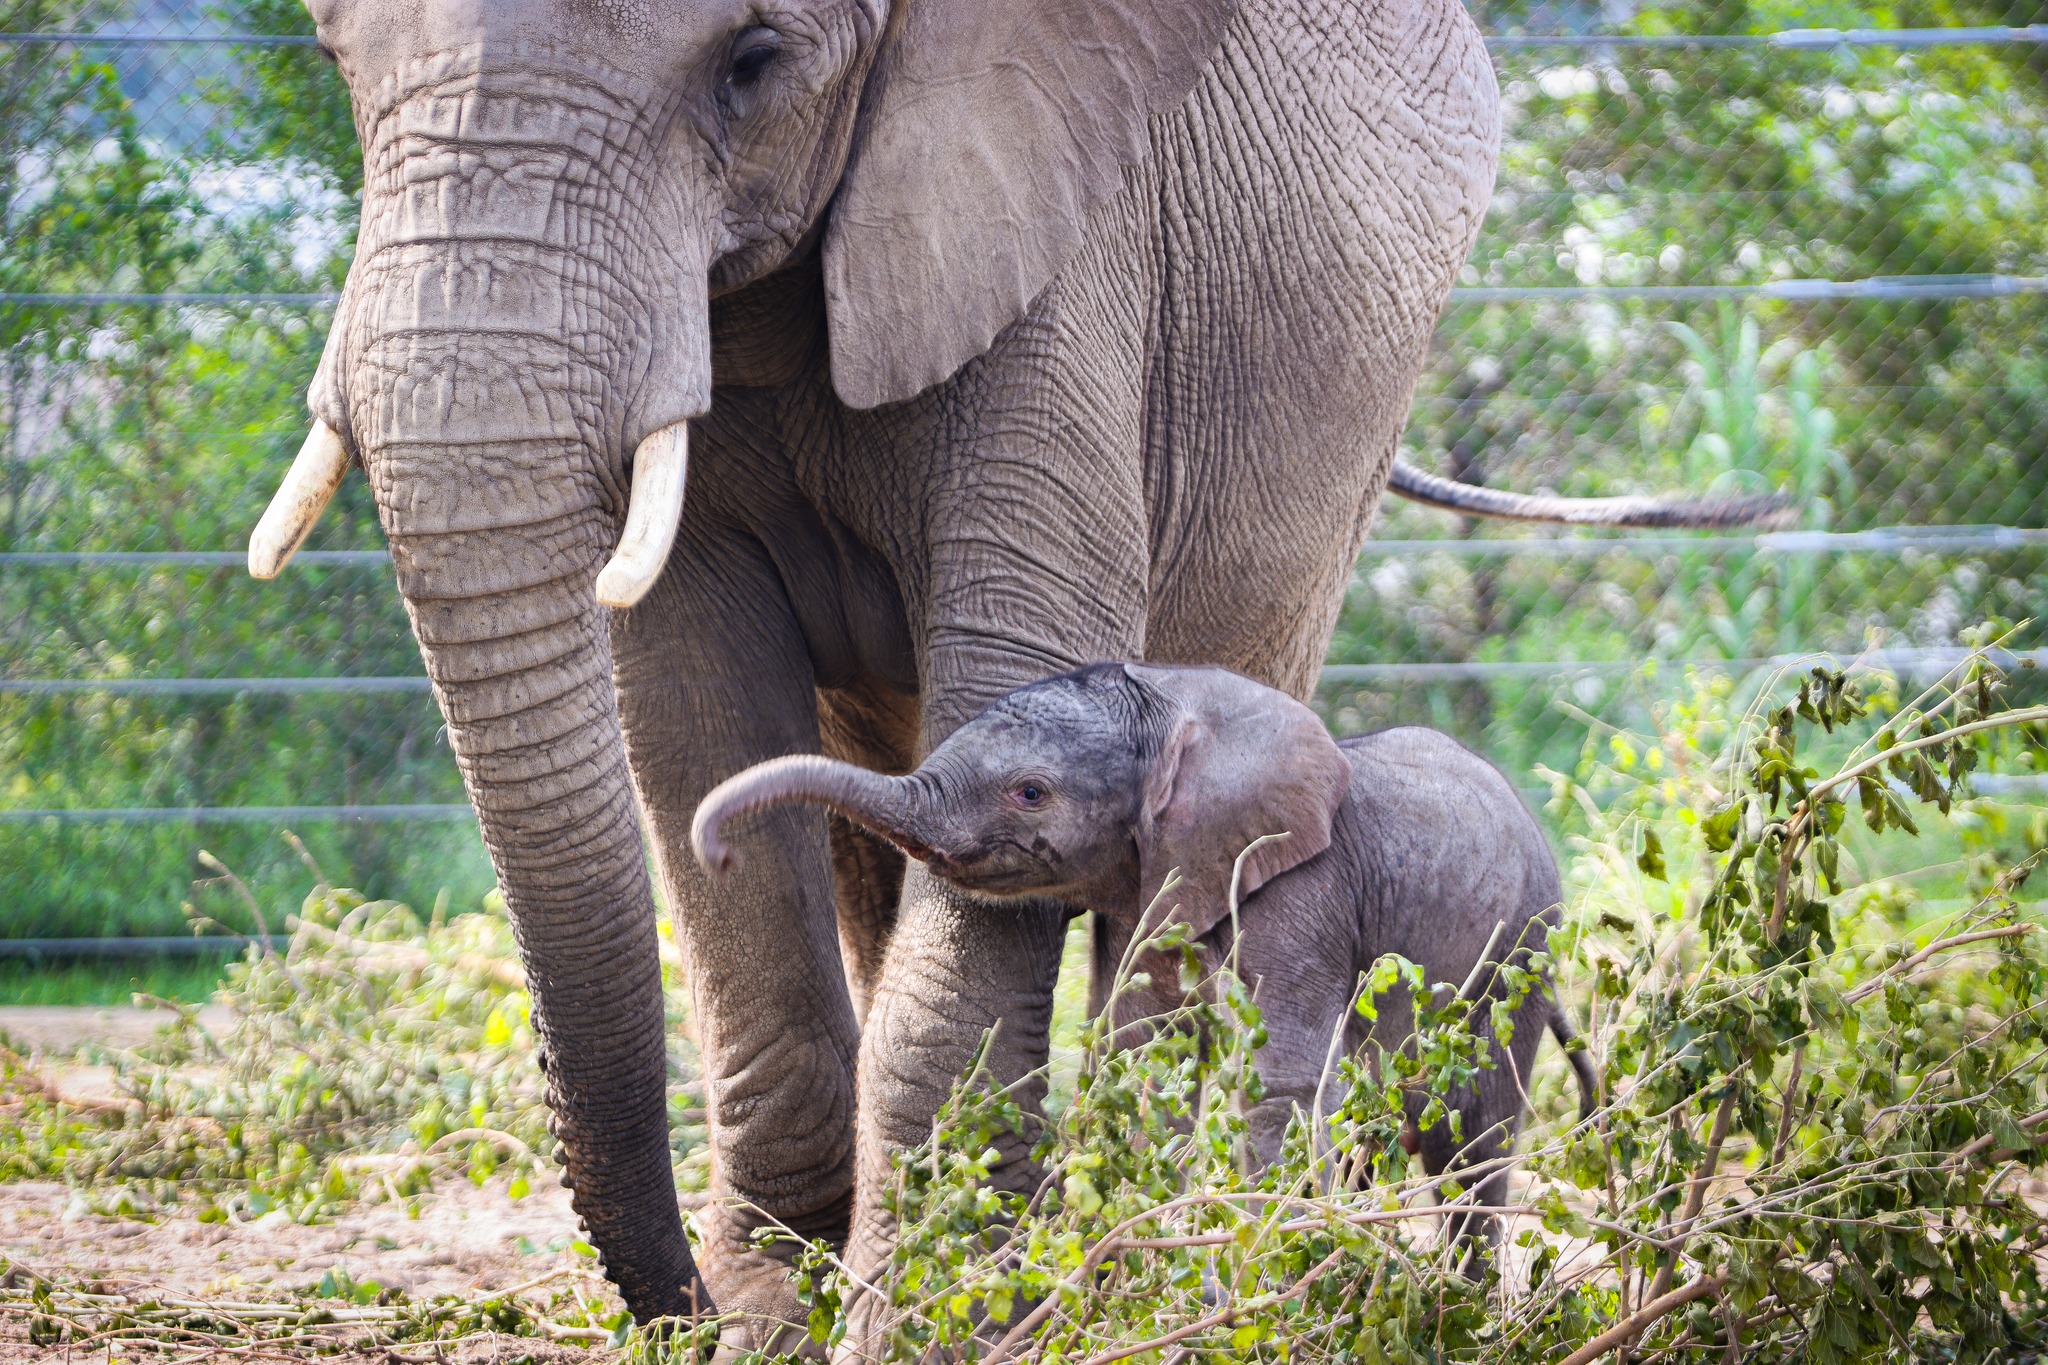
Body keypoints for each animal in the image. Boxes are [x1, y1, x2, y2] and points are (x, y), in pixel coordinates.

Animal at [694, 662, 1596, 1255]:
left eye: (1031, 792)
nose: (718, 852)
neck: (1180, 705)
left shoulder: (1301, 887)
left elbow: (1287, 1078)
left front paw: (1264, 1276)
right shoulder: (1150, 891)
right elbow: (1141, 1056)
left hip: (1520, 952)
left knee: (1467, 1141)